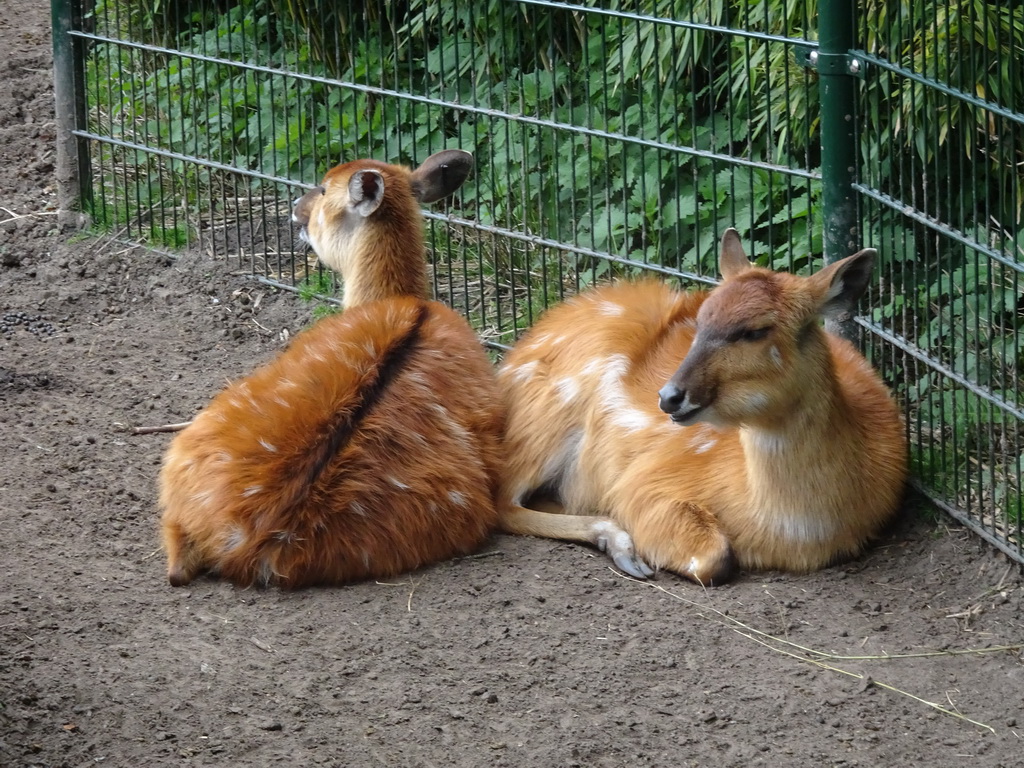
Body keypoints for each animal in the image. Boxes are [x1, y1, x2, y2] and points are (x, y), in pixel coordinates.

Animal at [499, 231, 909, 585]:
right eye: (700, 321)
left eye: (755, 330)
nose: (668, 396)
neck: (796, 528)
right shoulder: (645, 482)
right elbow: (715, 558)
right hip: (548, 413)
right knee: (505, 501)